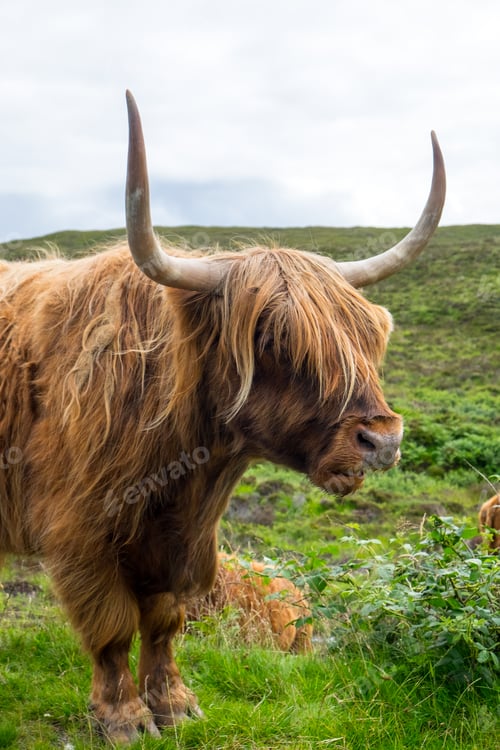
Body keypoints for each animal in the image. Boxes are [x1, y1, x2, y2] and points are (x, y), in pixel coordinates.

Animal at [0, 90, 445, 744]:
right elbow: (112, 626)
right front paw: (124, 719)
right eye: (273, 339)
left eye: (370, 336)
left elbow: (163, 620)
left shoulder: (184, 540)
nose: (382, 440)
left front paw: (175, 705)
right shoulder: (78, 530)